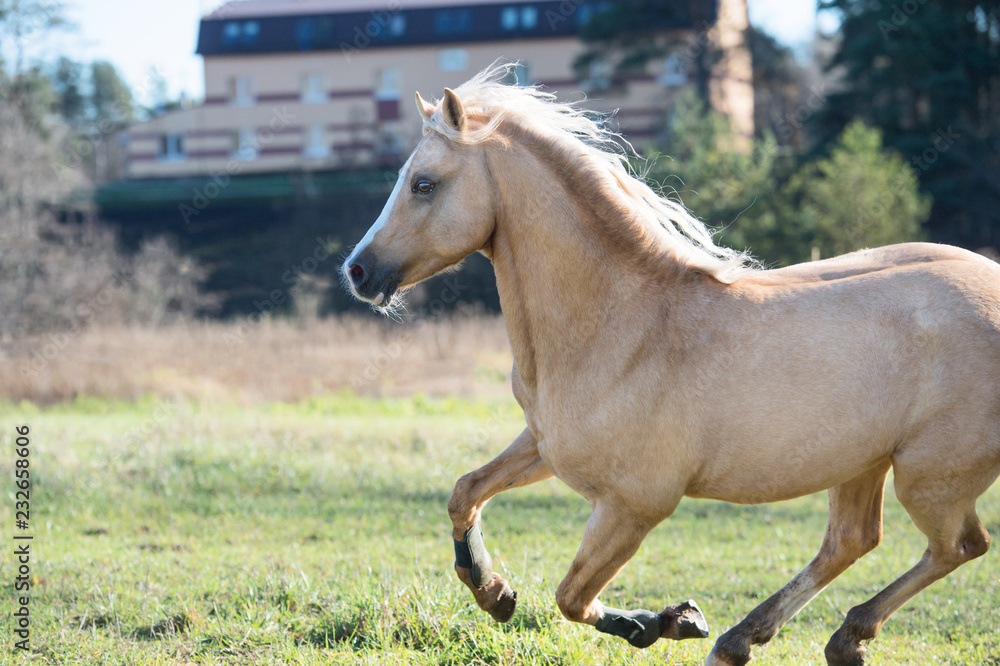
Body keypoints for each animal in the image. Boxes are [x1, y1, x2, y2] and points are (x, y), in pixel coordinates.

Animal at [342, 64, 1000, 665]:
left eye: (423, 184)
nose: (357, 272)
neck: (618, 324)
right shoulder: (543, 446)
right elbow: (464, 493)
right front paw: (495, 593)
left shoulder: (633, 505)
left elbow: (571, 598)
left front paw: (667, 621)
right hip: (862, 461)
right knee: (853, 541)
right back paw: (752, 641)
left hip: (926, 477)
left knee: (958, 546)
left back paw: (830, 636)